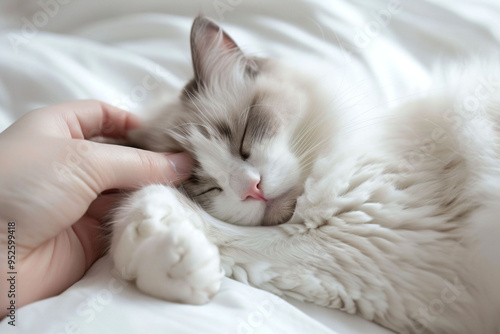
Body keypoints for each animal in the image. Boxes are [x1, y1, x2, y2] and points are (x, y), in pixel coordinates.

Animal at [109, 16, 500, 334]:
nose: (251, 188)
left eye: (244, 138)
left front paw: (164, 253)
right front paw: (171, 261)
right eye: (206, 188)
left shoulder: (368, 231)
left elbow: (151, 203)